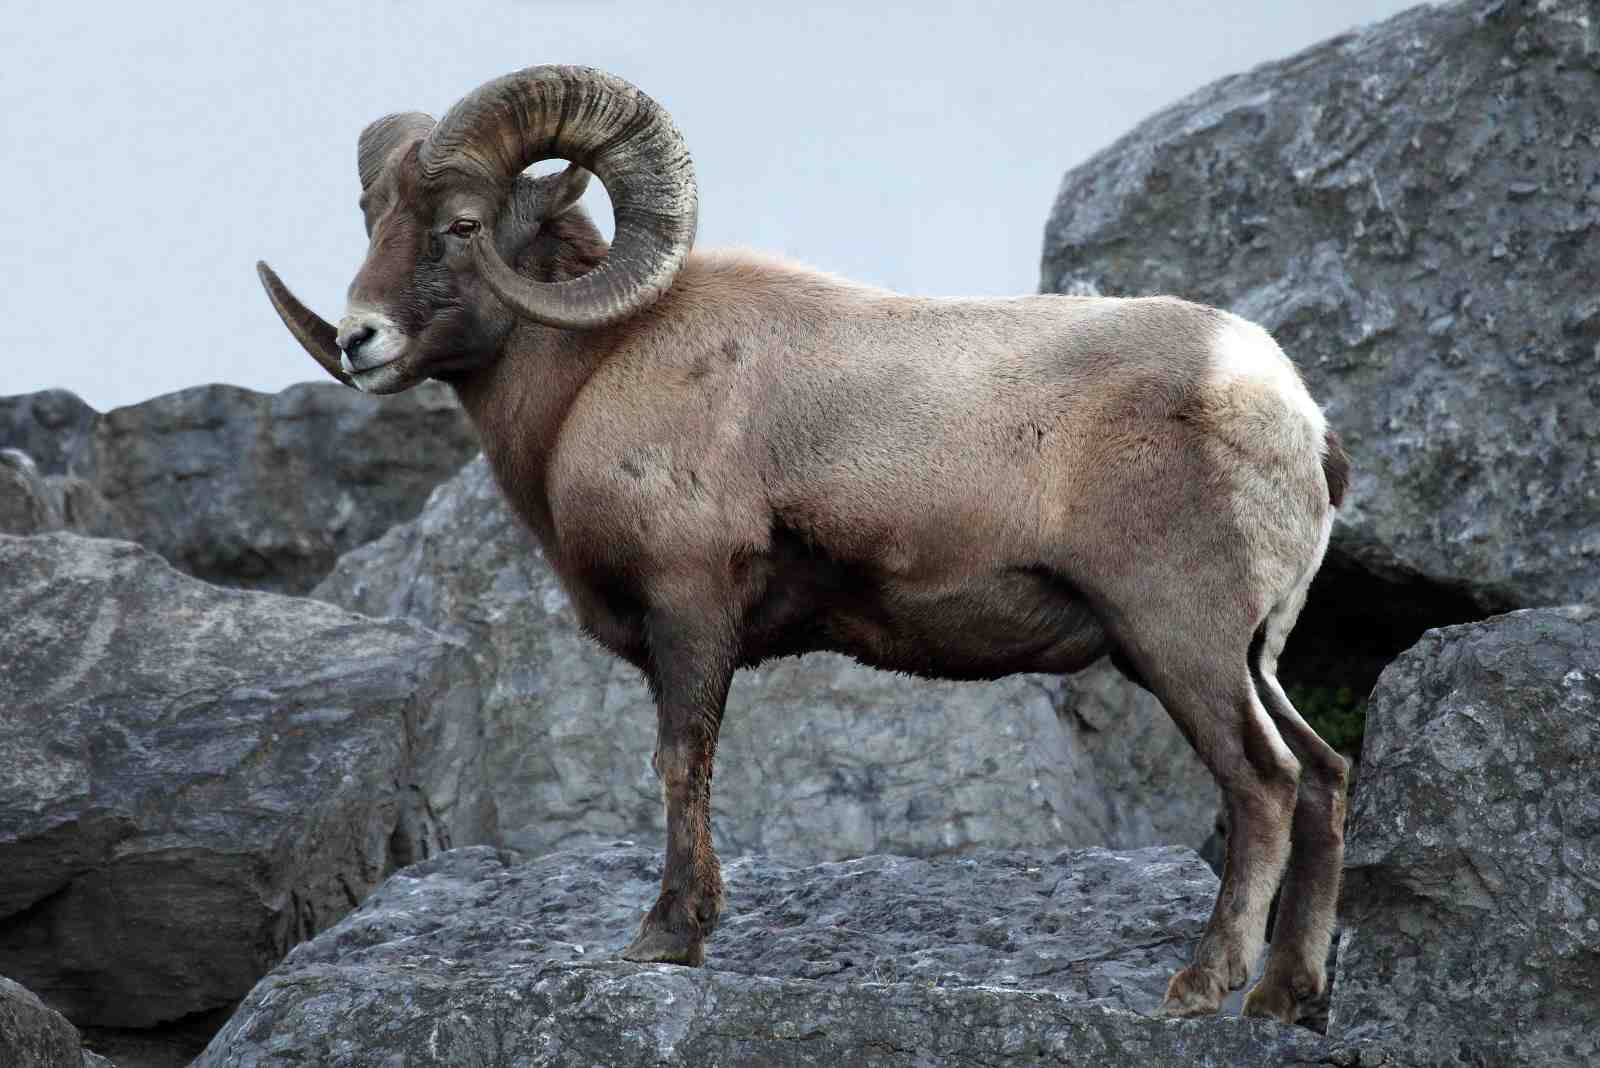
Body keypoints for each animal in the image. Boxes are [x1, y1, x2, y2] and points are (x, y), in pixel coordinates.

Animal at [258, 64, 1352, 1025]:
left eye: (462, 225)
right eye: (375, 220)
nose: (359, 339)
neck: (593, 374)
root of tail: (1289, 411)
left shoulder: (691, 609)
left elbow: (681, 762)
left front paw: (667, 938)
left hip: (1181, 645)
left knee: (1265, 785)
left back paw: (1201, 987)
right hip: (1248, 657)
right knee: (1325, 777)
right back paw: (1286, 997)